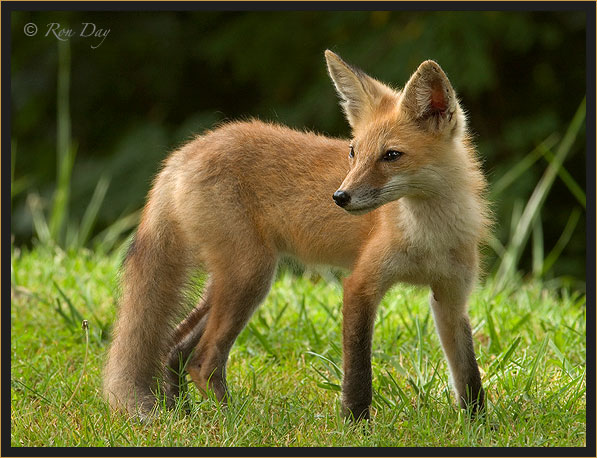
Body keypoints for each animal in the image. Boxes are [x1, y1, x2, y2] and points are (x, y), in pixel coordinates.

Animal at [103, 51, 488, 422]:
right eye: (354, 152)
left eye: (391, 155)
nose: (340, 197)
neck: (428, 239)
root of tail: (184, 151)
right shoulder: (361, 285)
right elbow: (358, 372)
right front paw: (356, 424)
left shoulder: (451, 299)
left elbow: (469, 374)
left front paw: (479, 425)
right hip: (251, 277)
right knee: (203, 361)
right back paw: (233, 422)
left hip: (232, 280)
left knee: (174, 347)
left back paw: (181, 415)